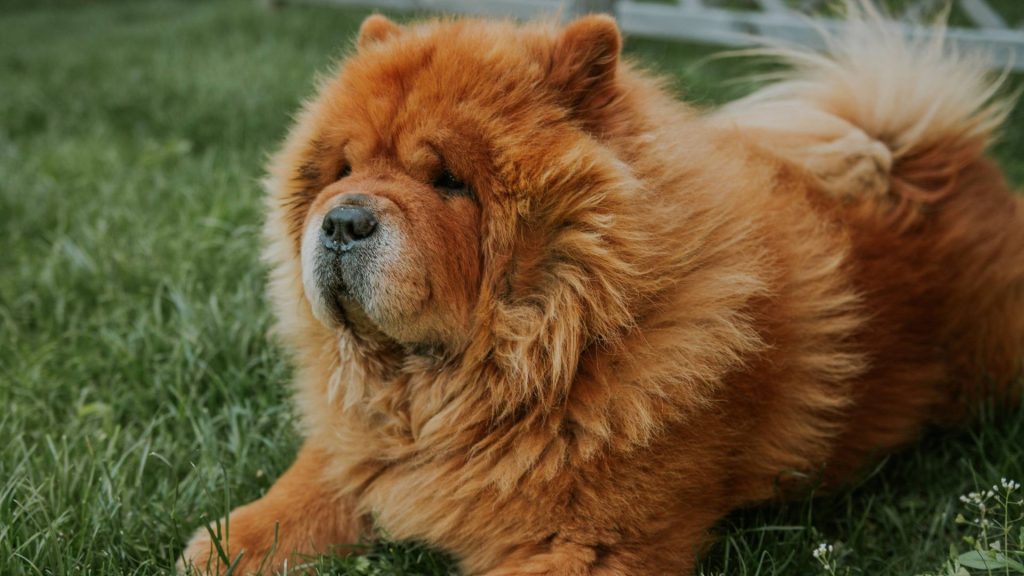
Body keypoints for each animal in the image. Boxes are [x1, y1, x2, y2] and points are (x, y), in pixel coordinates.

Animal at [182, 5, 1024, 573]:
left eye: (449, 181)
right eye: (344, 169)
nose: (342, 221)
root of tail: (933, 161)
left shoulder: (585, 543)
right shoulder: (364, 450)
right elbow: (295, 497)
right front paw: (221, 546)